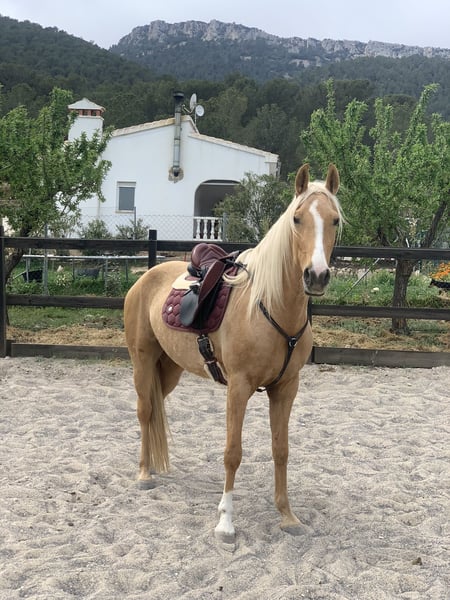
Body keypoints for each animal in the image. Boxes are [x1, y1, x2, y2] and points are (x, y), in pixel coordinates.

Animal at [124, 163, 342, 544]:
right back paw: (143, 474)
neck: (269, 305)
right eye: (297, 218)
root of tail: (145, 278)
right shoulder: (238, 388)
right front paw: (225, 522)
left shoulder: (286, 389)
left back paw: (153, 465)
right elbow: (232, 453)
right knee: (145, 411)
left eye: (334, 220)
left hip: (169, 369)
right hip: (143, 361)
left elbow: (281, 450)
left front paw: (287, 516)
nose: (316, 276)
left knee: (155, 411)